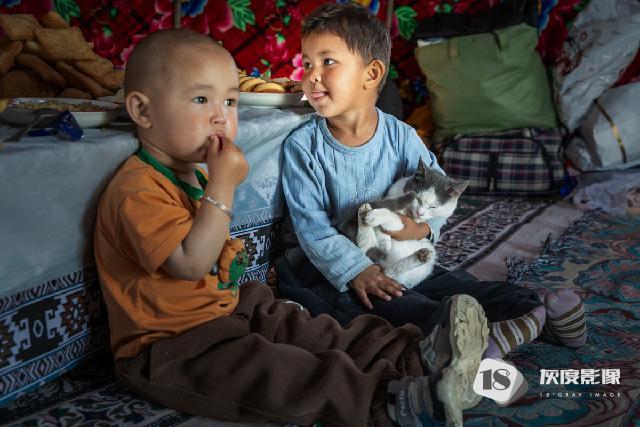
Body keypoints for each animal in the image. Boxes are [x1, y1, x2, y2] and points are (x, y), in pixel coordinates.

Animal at [346, 160, 468, 289]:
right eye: (418, 199)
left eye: (433, 207)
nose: (420, 213)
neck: (409, 211)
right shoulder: (391, 196)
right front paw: (384, 238)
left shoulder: (411, 224)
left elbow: (395, 219)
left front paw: (378, 217)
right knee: (367, 249)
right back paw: (364, 213)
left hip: (426, 253)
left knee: (388, 272)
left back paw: (421, 256)